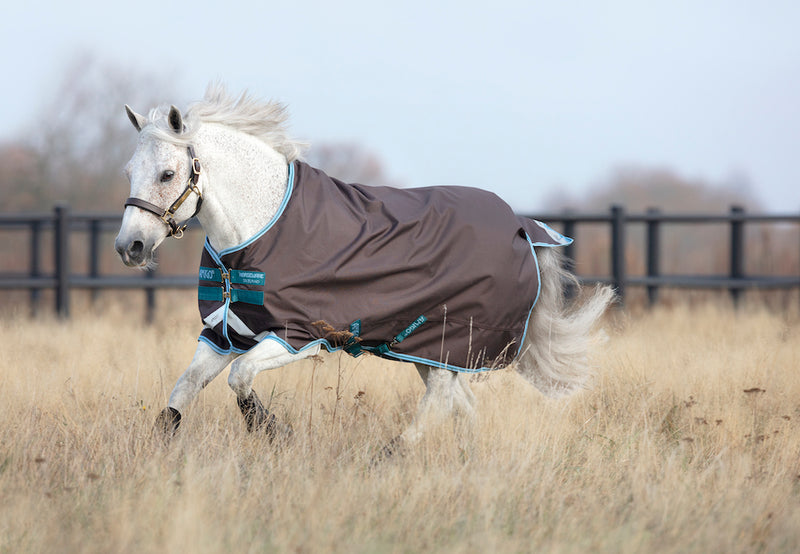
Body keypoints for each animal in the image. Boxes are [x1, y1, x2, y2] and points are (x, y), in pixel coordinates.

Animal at [115, 85, 613, 452]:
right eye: (129, 171)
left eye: (167, 174)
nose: (129, 247)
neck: (261, 229)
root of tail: (523, 227)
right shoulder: (224, 334)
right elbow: (182, 392)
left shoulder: (297, 337)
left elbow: (241, 380)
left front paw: (274, 433)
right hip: (425, 349)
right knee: (459, 403)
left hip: (447, 342)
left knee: (440, 401)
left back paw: (393, 453)